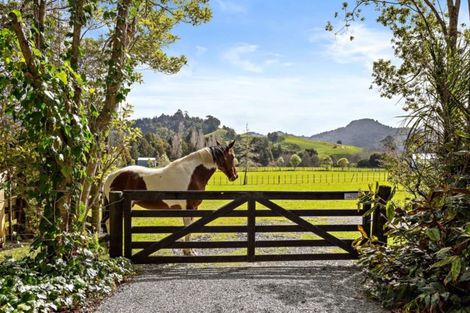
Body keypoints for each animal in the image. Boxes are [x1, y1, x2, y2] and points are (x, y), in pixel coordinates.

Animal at [101, 140, 237, 255]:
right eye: (232, 157)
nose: (235, 176)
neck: (192, 174)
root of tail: (110, 176)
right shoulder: (188, 208)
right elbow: (188, 228)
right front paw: (188, 251)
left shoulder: (192, 208)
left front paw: (189, 251)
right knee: (108, 223)